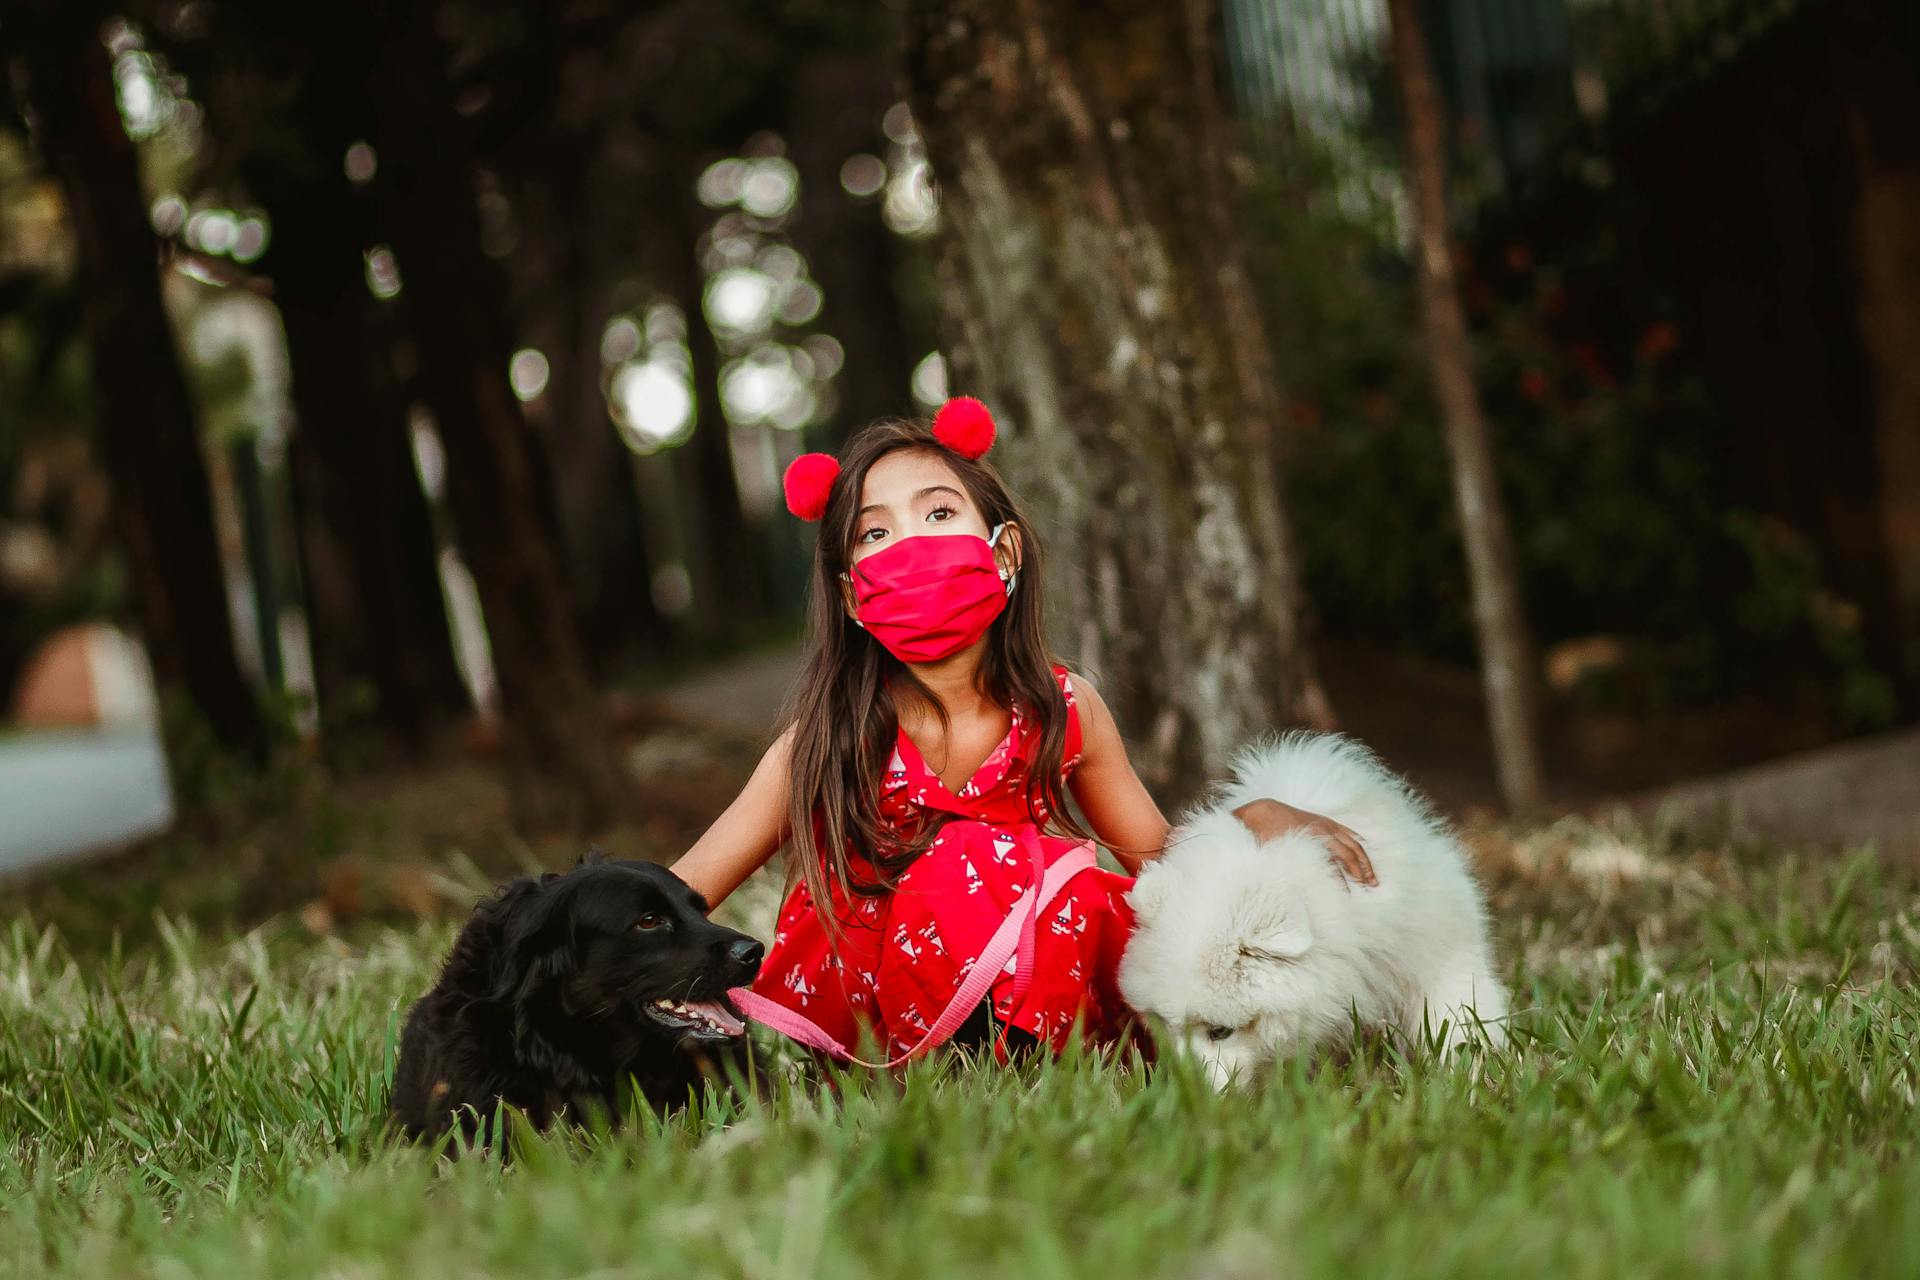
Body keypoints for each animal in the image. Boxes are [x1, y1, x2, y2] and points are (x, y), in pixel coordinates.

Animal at [1121, 736, 1505, 1090]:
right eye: (1166, 1025)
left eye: (1219, 1031)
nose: (1189, 1094)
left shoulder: (1428, 958)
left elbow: (1452, 1018)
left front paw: (1468, 1079)